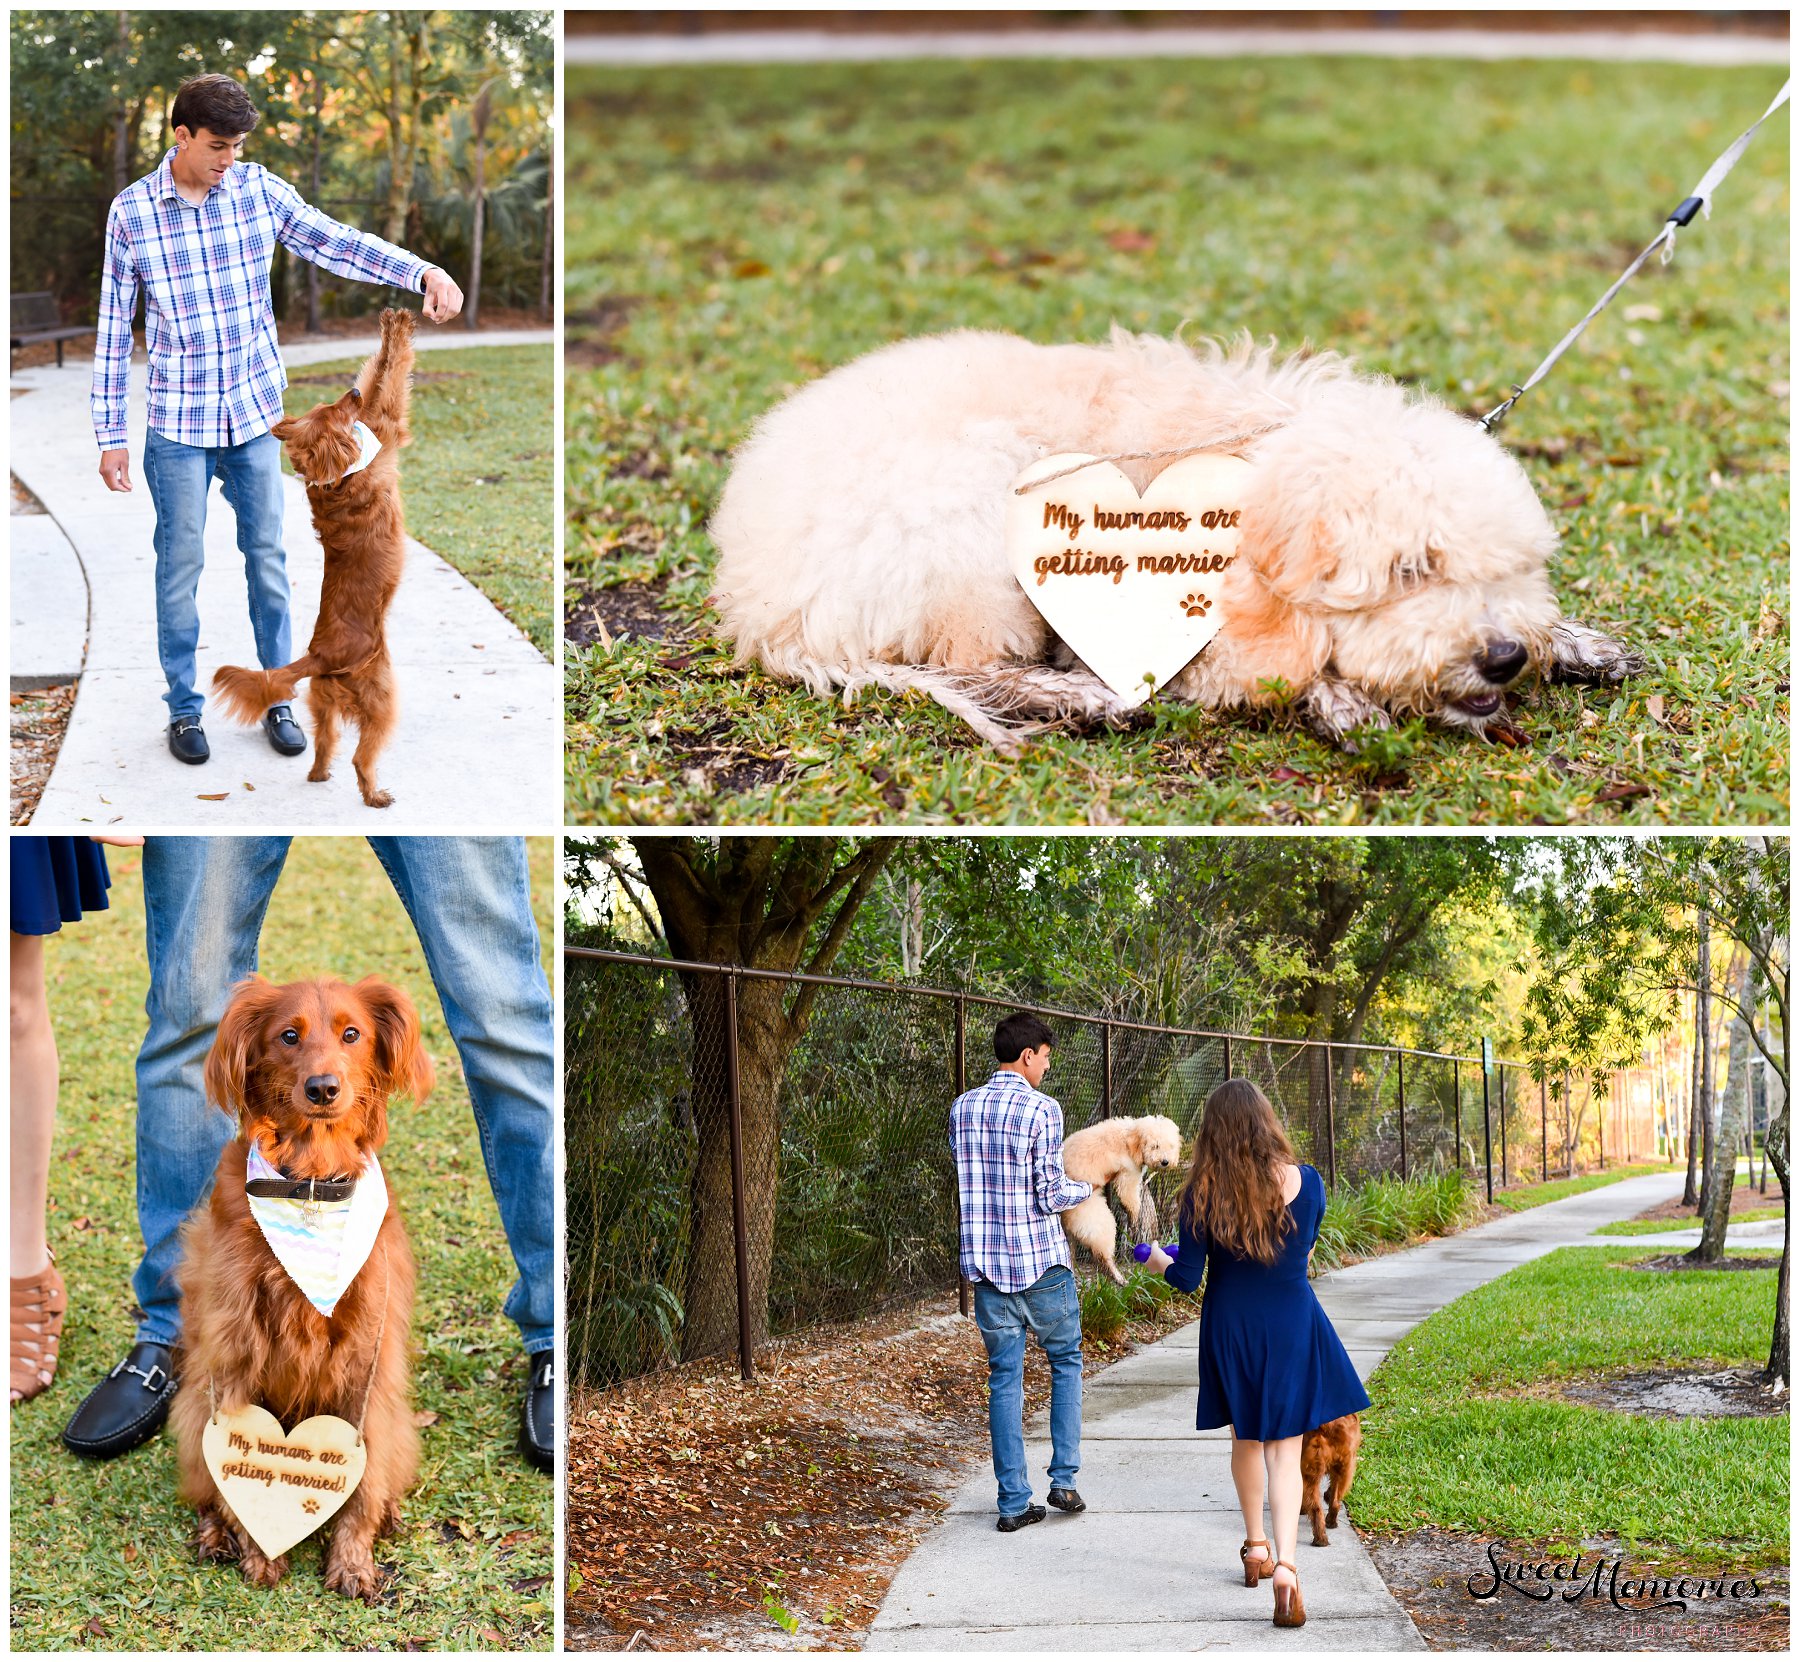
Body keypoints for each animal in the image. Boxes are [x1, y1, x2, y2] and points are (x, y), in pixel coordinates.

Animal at [169, 972, 435, 1598]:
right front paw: (257, 1547)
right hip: (192, 1404)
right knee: (203, 1484)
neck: (310, 1183)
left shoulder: (368, 1361)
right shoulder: (235, 1349)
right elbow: (231, 1470)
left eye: (352, 1033)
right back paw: (215, 1532)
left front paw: (353, 1559)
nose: (323, 1088)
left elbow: (363, 1476)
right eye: (288, 1036)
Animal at [212, 309, 415, 813]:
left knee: (325, 743)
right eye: (337, 413)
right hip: (381, 699)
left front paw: (389, 320)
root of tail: (318, 655)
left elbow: (377, 372)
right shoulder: (387, 427)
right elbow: (392, 376)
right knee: (361, 756)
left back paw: (319, 773)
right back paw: (375, 794)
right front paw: (401, 325)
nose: (351, 397)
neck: (333, 479)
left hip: (323, 702)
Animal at [705, 331, 1648, 749]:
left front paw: (1579, 642)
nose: (1502, 658)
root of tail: (759, 605)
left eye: (1515, 569)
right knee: (975, 665)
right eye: (1412, 569)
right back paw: (1076, 697)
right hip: (970, 519)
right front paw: (1340, 699)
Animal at [1058, 1116, 1188, 1289]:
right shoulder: (1128, 1174)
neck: (1130, 1138)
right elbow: (1131, 1200)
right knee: (1102, 1256)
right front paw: (1134, 1217)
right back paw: (1118, 1277)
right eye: (1155, 1146)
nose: (1165, 1161)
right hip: (1097, 1221)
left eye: (1171, 1146)